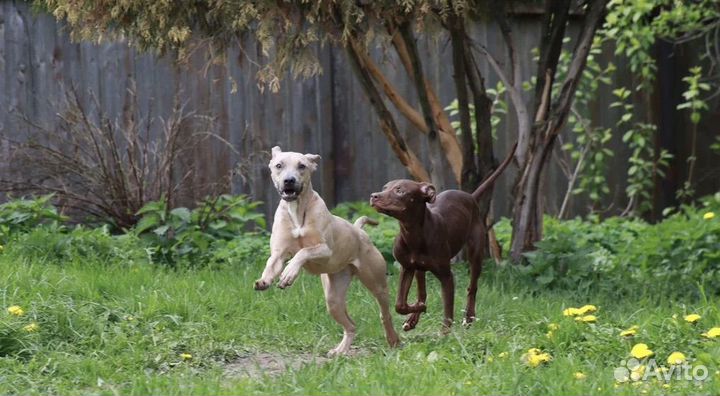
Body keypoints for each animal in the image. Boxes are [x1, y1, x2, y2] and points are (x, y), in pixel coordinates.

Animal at [253, 146, 400, 356]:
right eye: (279, 165)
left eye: (302, 166)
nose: (289, 180)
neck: (297, 211)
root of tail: (359, 231)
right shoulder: (279, 253)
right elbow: (272, 263)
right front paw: (264, 280)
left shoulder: (324, 249)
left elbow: (303, 252)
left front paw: (289, 274)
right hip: (333, 299)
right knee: (351, 325)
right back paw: (340, 351)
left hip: (377, 284)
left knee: (385, 313)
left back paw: (393, 339)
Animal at [368, 144, 516, 330]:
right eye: (384, 187)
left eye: (399, 190)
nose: (373, 196)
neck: (413, 233)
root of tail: (470, 196)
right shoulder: (407, 268)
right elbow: (400, 304)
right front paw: (417, 309)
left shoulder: (447, 276)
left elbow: (448, 311)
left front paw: (444, 331)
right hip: (419, 269)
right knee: (422, 293)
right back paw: (414, 317)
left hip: (476, 254)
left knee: (472, 287)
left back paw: (469, 317)